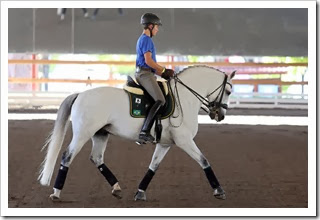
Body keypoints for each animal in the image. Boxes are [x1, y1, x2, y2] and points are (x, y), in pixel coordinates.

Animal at [38, 65, 235, 201]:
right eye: (228, 91)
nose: (220, 115)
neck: (185, 98)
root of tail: (80, 94)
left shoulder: (165, 143)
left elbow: (153, 166)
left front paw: (140, 192)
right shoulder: (184, 140)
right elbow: (204, 161)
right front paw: (219, 190)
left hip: (100, 134)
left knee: (97, 158)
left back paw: (117, 188)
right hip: (83, 134)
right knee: (67, 156)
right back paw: (56, 193)